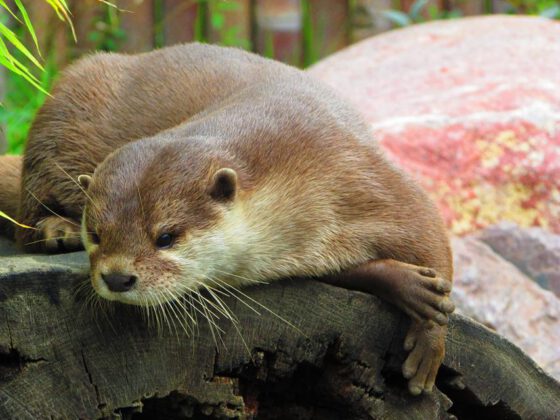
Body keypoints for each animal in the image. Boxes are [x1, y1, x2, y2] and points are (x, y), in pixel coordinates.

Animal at [0, 43, 452, 398]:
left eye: (166, 236)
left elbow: (429, 232)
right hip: (62, 111)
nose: (117, 277)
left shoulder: (364, 175)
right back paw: (56, 229)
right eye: (95, 234)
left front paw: (429, 333)